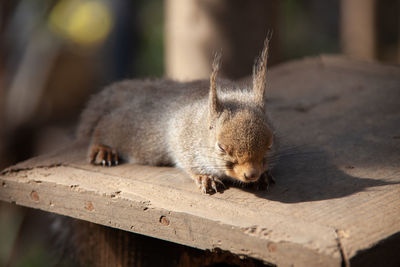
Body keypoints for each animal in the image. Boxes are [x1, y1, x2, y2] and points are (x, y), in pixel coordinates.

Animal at [76, 37, 276, 195]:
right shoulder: (182, 137)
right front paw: (204, 177)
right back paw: (102, 149)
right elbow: (187, 160)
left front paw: (263, 176)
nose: (251, 174)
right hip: (138, 133)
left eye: (270, 144)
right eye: (220, 147)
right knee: (106, 124)